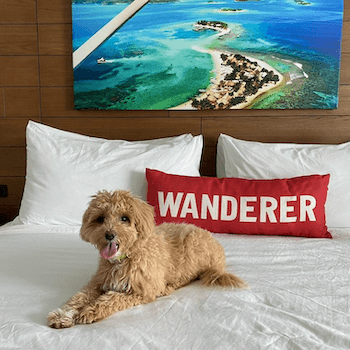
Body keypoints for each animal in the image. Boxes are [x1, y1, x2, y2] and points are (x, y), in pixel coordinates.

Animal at [47, 189, 247, 328]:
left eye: (124, 218)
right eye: (100, 219)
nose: (109, 235)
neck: (124, 258)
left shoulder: (140, 291)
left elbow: (112, 299)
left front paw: (90, 311)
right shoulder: (97, 282)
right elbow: (78, 297)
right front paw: (62, 315)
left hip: (193, 248)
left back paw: (169, 286)